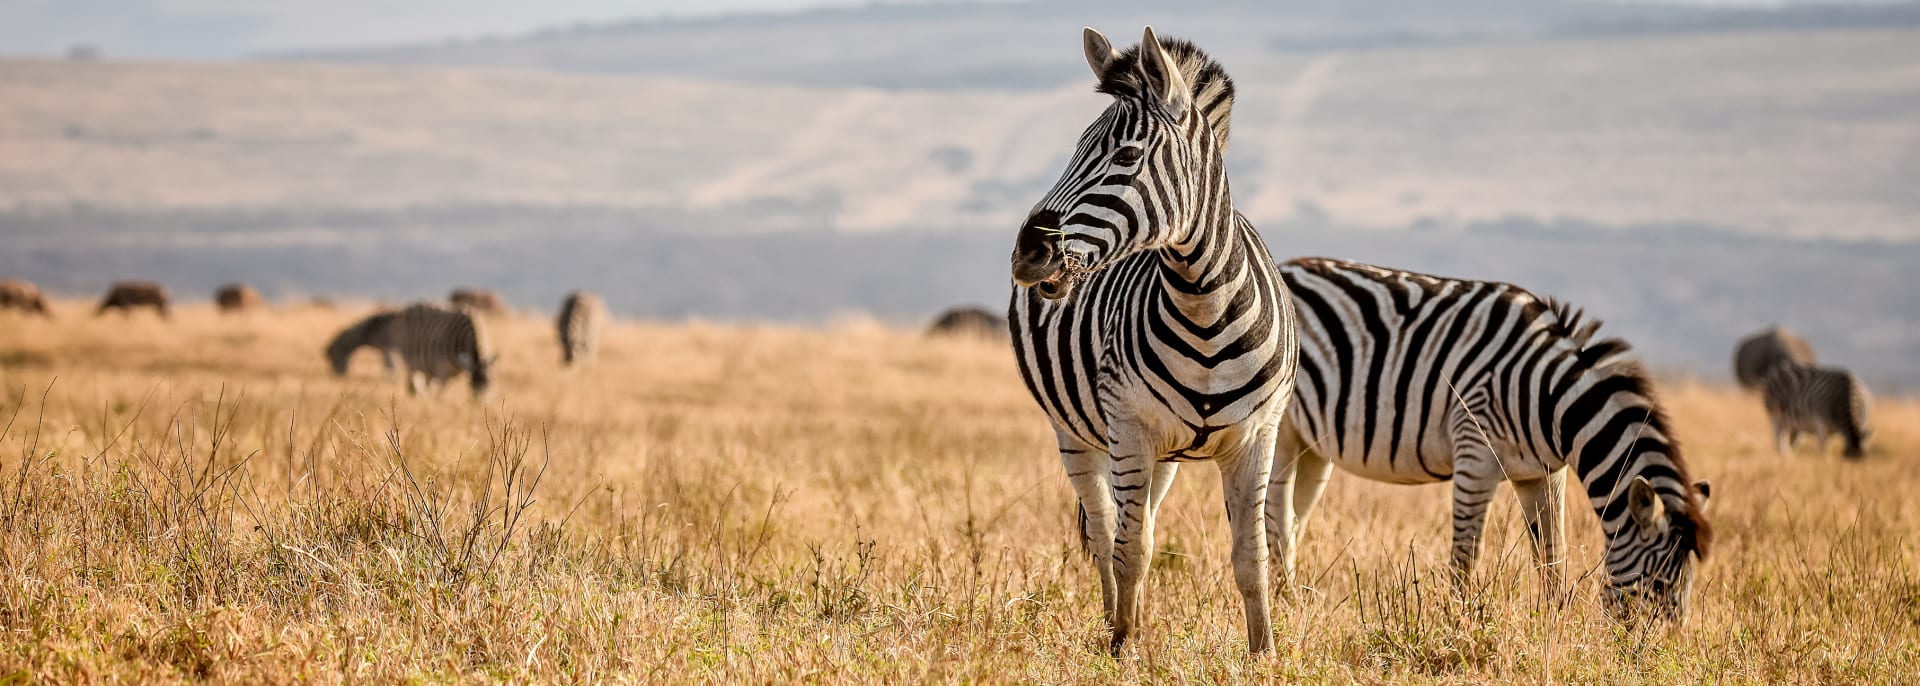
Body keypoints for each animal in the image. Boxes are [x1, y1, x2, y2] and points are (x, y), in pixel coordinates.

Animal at [1006, 26, 1305, 653]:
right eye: (1075, 148)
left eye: (1125, 156)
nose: (1028, 252)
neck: (1205, 306)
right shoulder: (1129, 426)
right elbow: (1131, 549)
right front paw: (1122, 648)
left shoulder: (1258, 437)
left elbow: (1251, 556)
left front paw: (1264, 652)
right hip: (1077, 435)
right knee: (1107, 531)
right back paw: (1116, 624)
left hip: (1163, 452)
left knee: (1135, 519)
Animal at [1274, 257, 1712, 618]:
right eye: (1660, 585)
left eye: (1689, 589)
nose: (1659, 655)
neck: (1546, 396)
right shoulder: (1475, 454)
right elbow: (1467, 555)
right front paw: (1457, 622)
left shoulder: (1542, 473)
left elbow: (1552, 554)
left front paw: (1554, 623)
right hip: (1281, 430)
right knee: (1274, 517)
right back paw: (1284, 603)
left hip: (1313, 447)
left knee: (1293, 517)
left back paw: (1290, 600)